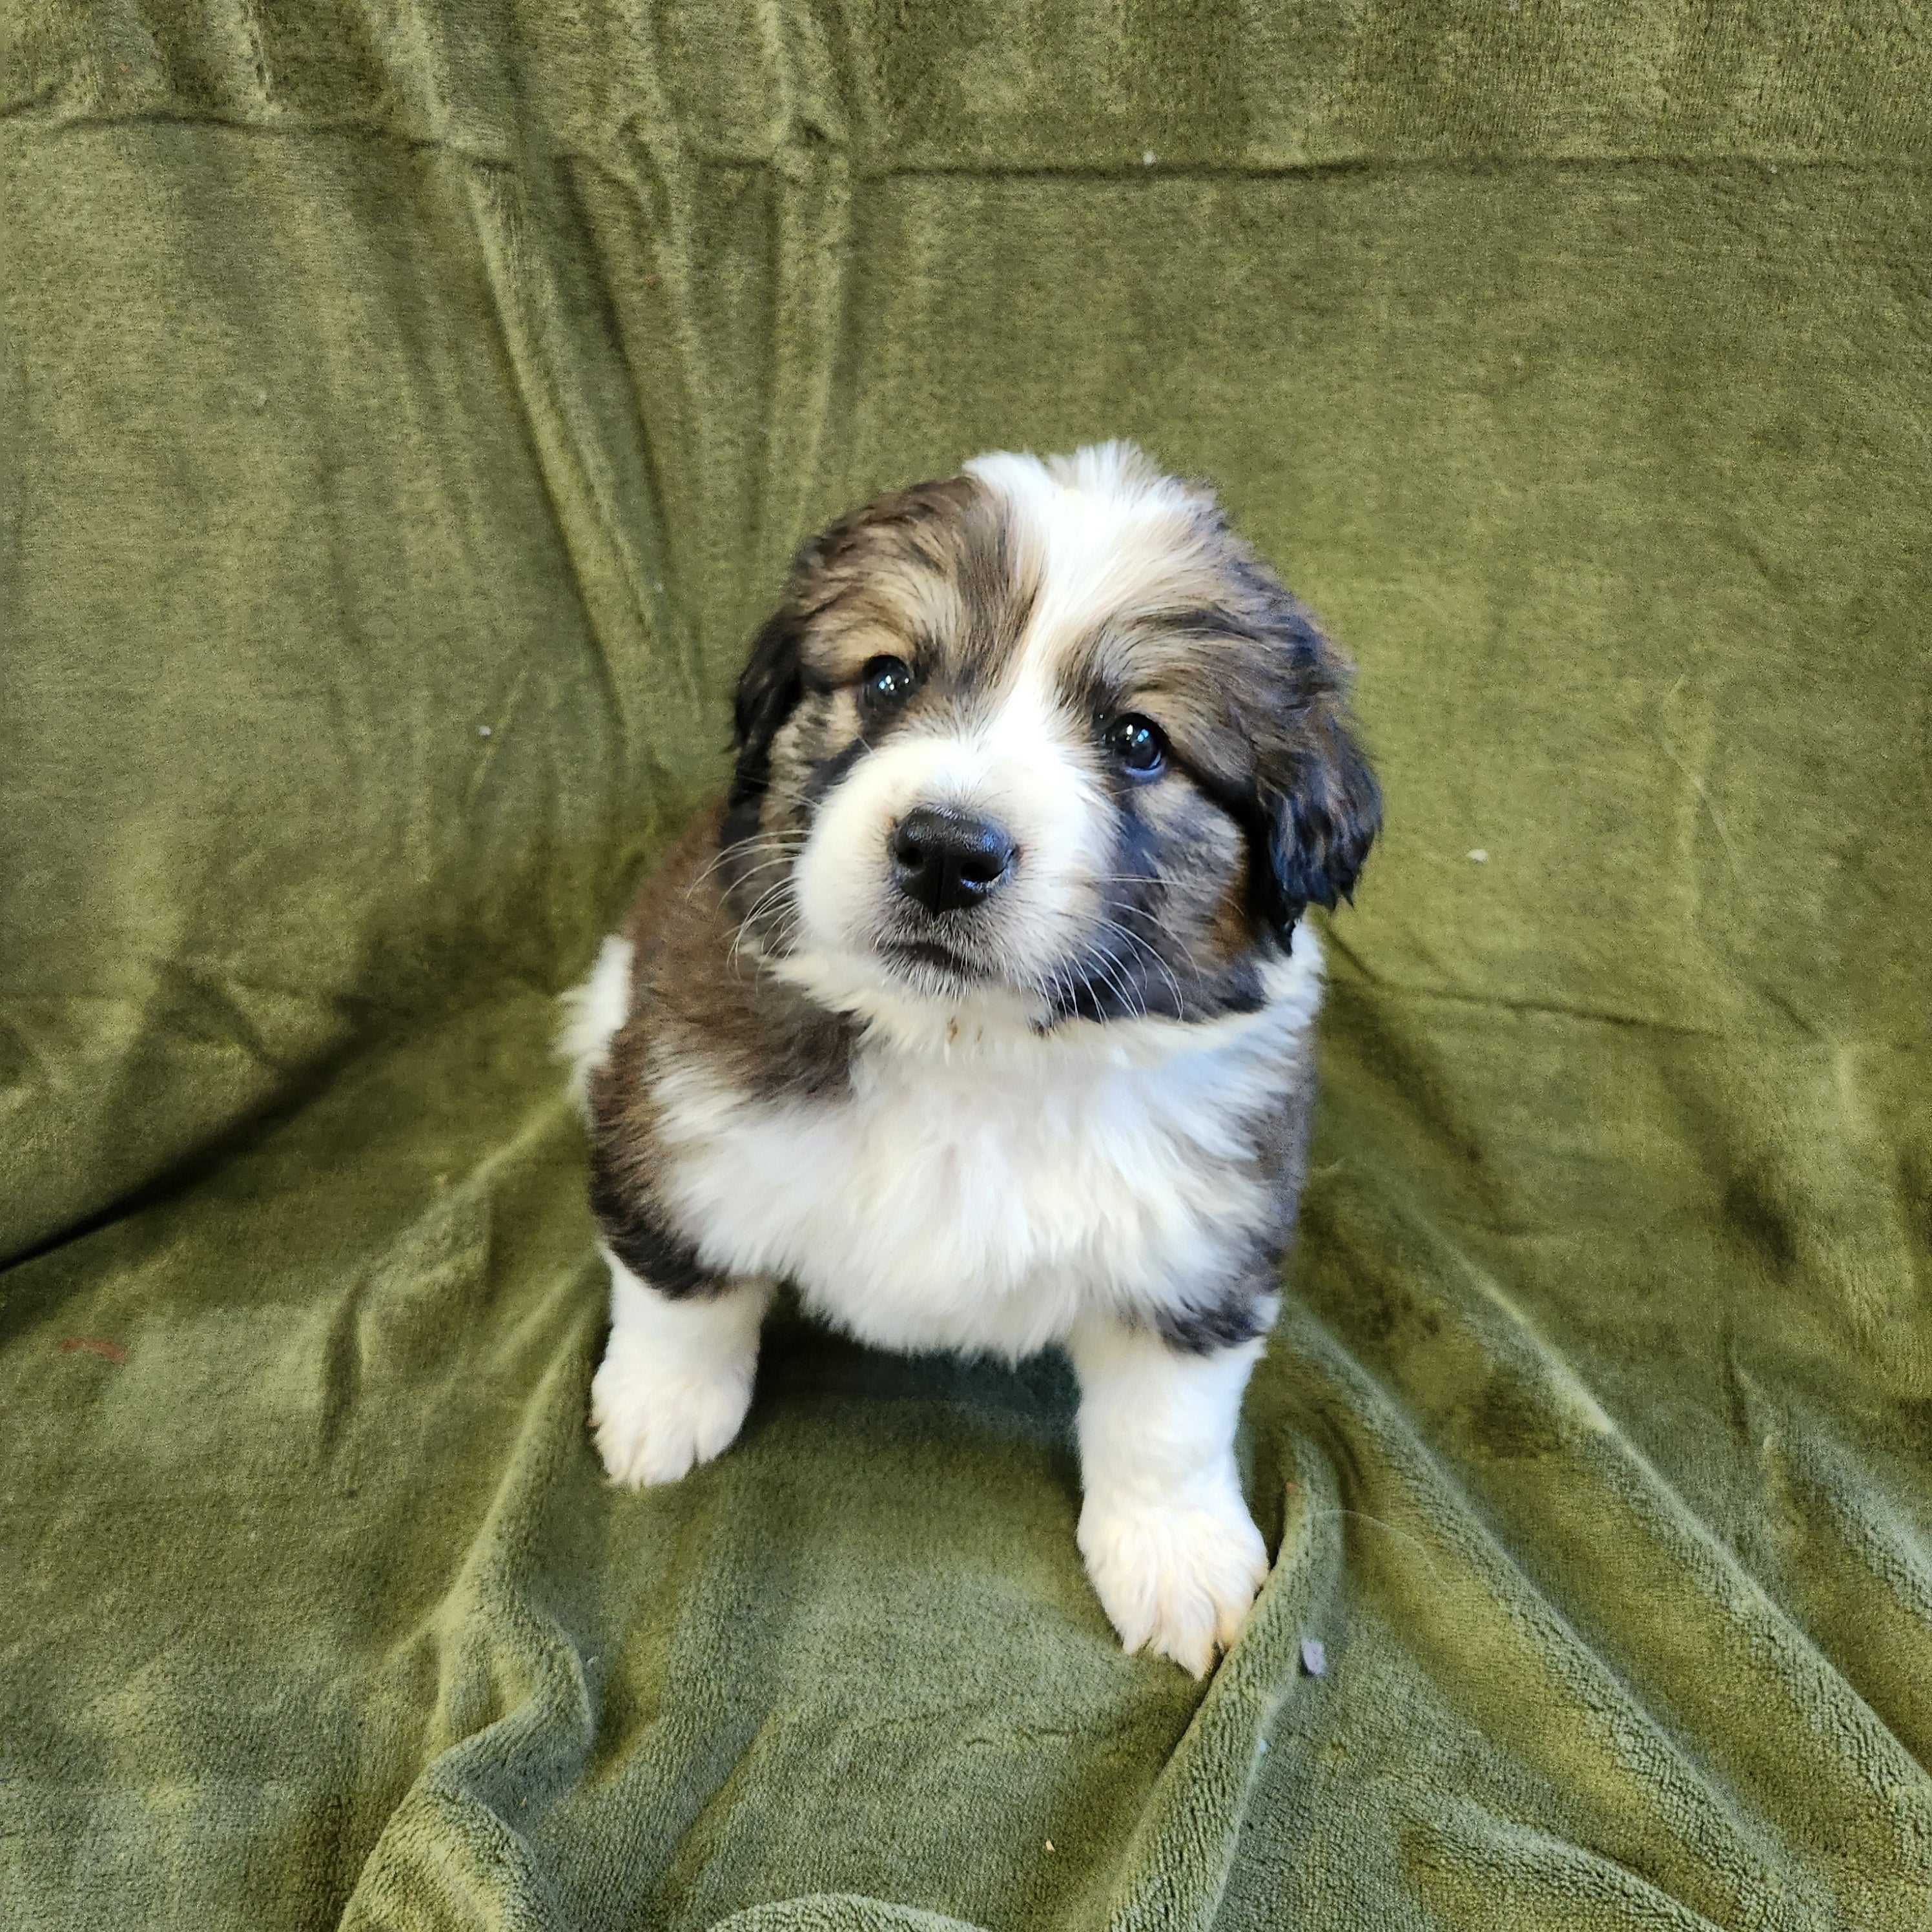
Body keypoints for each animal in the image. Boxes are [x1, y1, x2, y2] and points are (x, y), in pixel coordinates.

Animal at [560, 442, 1375, 1677]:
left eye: (1139, 740)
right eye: (888, 679)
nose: (946, 850)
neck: (968, 1051)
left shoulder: (1207, 1229)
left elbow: (1168, 1417)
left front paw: (1176, 1555)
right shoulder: (679, 1111)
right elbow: (680, 1284)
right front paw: (661, 1406)